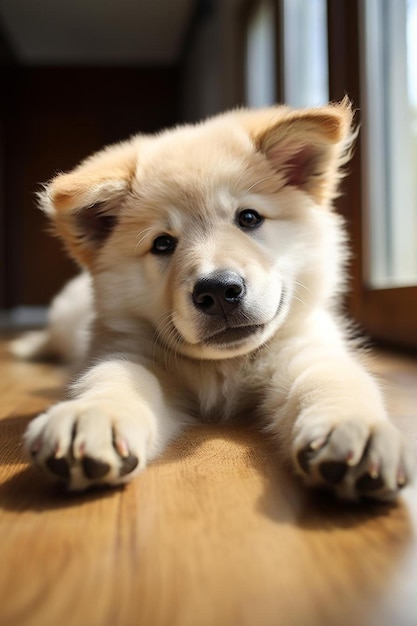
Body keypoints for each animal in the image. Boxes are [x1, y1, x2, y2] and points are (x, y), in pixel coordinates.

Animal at [17, 97, 414, 498]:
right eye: (163, 243)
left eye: (249, 218)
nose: (218, 290)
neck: (225, 366)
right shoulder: (128, 348)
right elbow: (116, 377)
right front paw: (92, 416)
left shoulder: (304, 347)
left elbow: (329, 379)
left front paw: (353, 428)